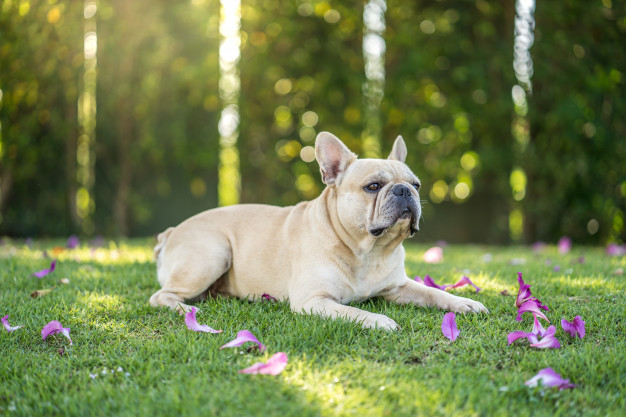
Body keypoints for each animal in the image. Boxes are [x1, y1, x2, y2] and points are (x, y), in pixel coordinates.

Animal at [149, 131, 486, 328]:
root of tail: (171, 232)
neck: (367, 251)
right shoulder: (314, 301)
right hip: (214, 252)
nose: (404, 190)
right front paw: (380, 320)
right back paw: (185, 311)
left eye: (416, 185)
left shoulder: (399, 286)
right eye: (373, 186)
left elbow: (432, 292)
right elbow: (355, 312)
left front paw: (463, 302)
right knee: (160, 296)